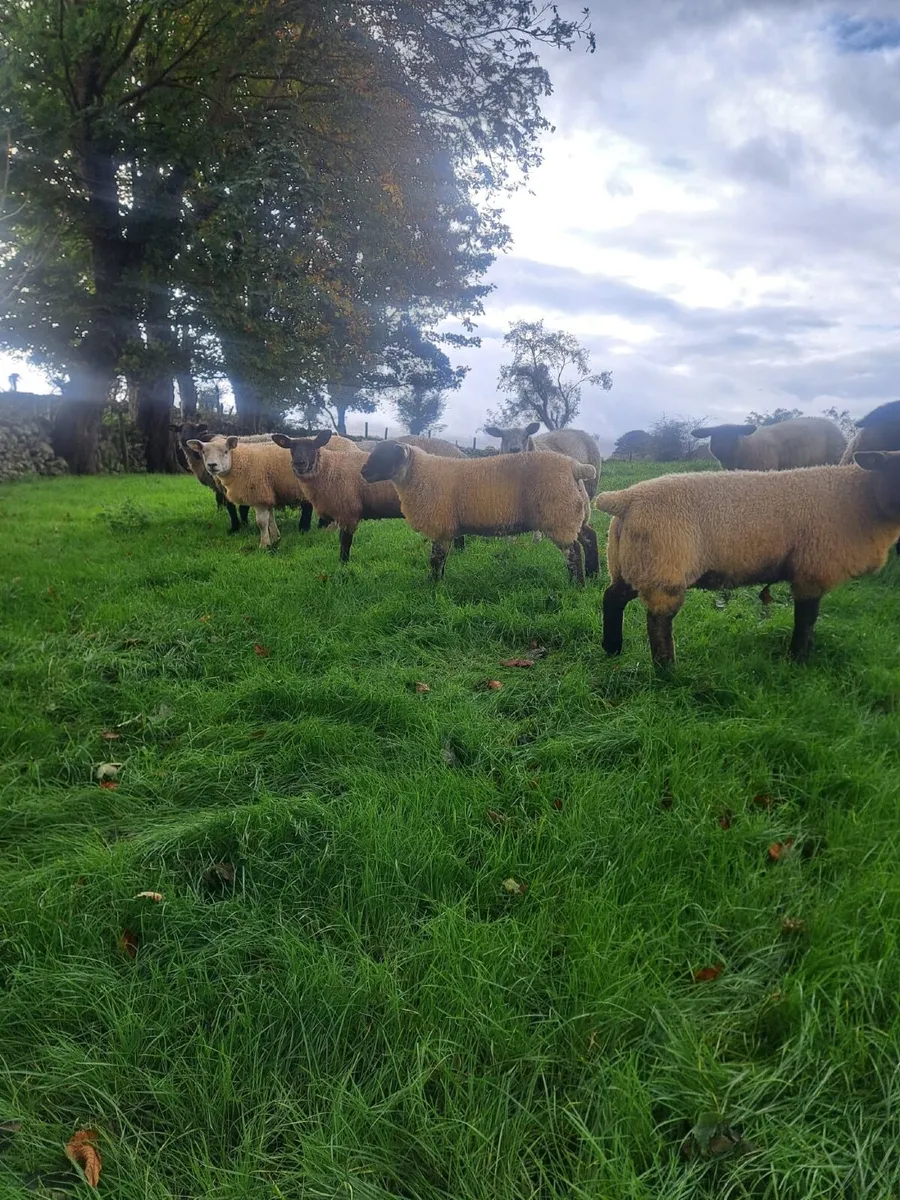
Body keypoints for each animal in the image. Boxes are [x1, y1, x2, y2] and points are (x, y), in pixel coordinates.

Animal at [360, 440, 599, 583]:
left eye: (385, 456)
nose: (363, 472)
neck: (418, 475)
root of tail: (575, 466)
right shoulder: (446, 528)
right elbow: (441, 558)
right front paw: (438, 582)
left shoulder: (440, 525)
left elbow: (436, 559)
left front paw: (433, 585)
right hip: (573, 514)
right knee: (589, 538)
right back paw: (593, 574)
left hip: (559, 516)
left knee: (573, 552)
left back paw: (577, 584)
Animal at [594, 454, 900, 666]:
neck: (858, 500)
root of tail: (626, 498)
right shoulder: (811, 572)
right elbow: (806, 620)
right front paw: (797, 661)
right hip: (663, 568)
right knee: (658, 623)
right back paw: (667, 671)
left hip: (632, 564)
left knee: (613, 598)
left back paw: (613, 648)